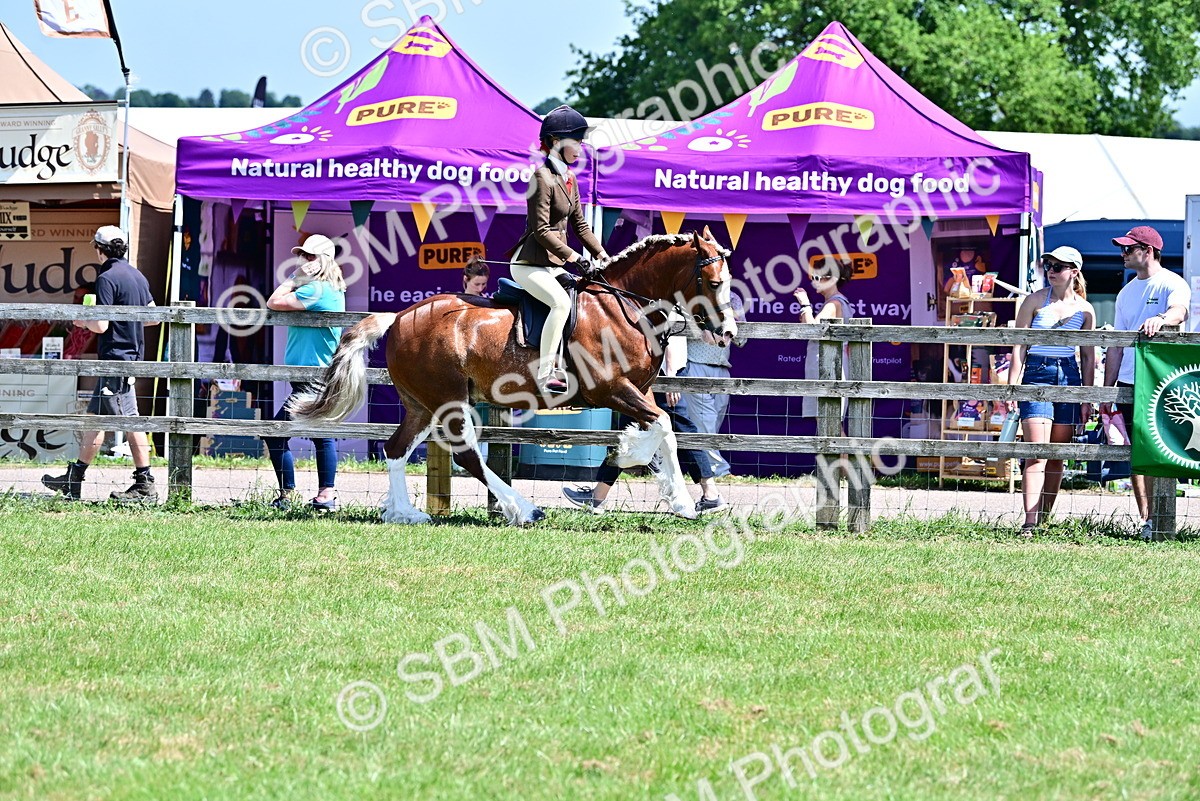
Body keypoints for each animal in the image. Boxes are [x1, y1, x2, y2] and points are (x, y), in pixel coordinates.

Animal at [290, 227, 738, 526]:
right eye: (712, 280)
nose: (728, 333)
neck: (622, 308)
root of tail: (400, 316)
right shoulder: (612, 389)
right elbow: (663, 428)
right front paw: (680, 501)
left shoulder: (637, 391)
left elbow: (656, 431)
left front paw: (630, 456)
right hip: (447, 400)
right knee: (466, 453)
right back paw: (523, 509)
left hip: (422, 404)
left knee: (397, 448)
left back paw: (404, 513)